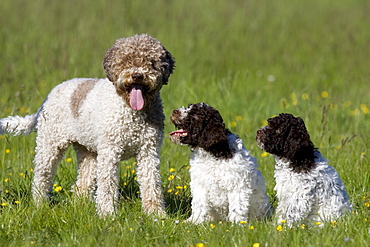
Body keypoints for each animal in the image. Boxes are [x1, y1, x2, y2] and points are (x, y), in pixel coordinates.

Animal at [0, 33, 176, 216]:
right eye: (125, 61)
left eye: (151, 63)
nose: (137, 76)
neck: (131, 110)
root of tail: (47, 98)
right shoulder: (110, 151)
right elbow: (108, 185)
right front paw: (108, 214)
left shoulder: (148, 151)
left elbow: (151, 184)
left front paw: (156, 214)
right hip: (50, 144)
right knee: (41, 177)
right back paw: (40, 204)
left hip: (87, 151)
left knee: (81, 184)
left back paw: (81, 206)